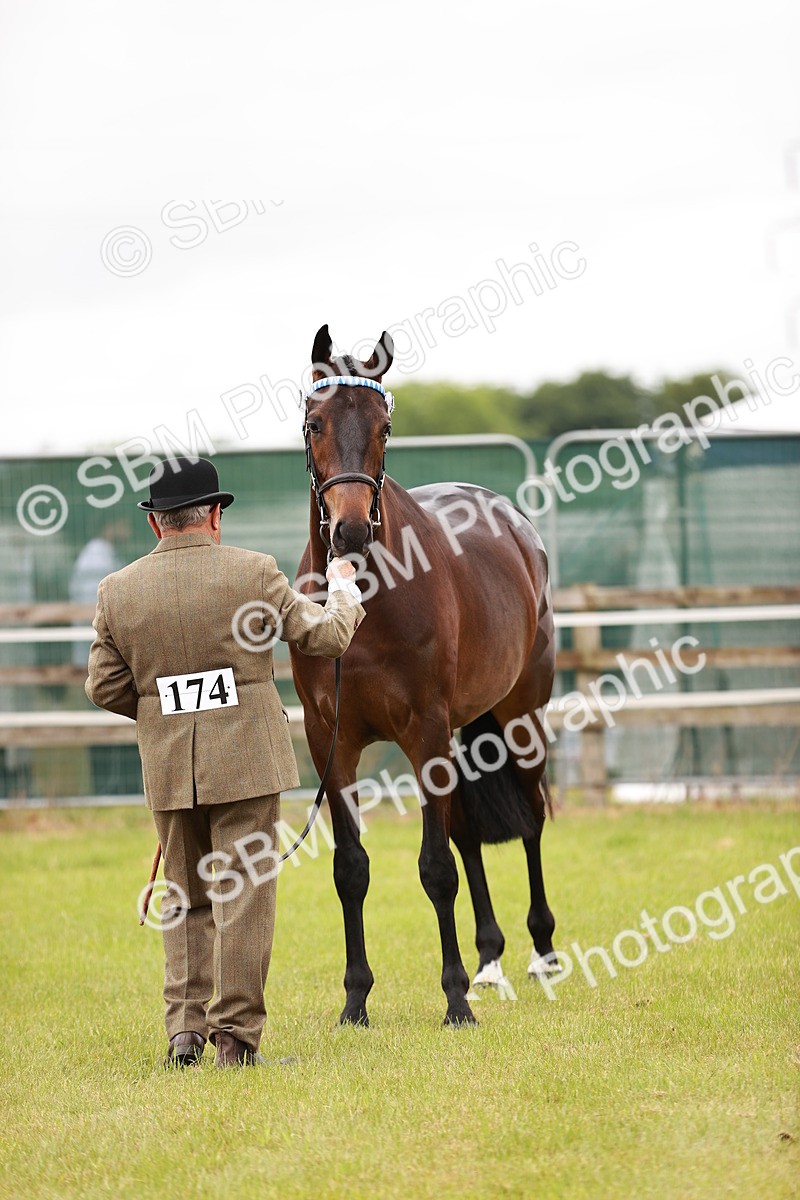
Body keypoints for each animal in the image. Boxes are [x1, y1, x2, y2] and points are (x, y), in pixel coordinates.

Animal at [288, 324, 558, 1027]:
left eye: (385, 427)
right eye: (315, 423)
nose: (352, 530)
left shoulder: (425, 732)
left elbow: (436, 868)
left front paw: (455, 1000)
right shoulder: (333, 743)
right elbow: (351, 869)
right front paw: (355, 1002)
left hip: (519, 720)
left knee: (531, 818)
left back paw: (541, 953)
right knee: (467, 829)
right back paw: (490, 959)